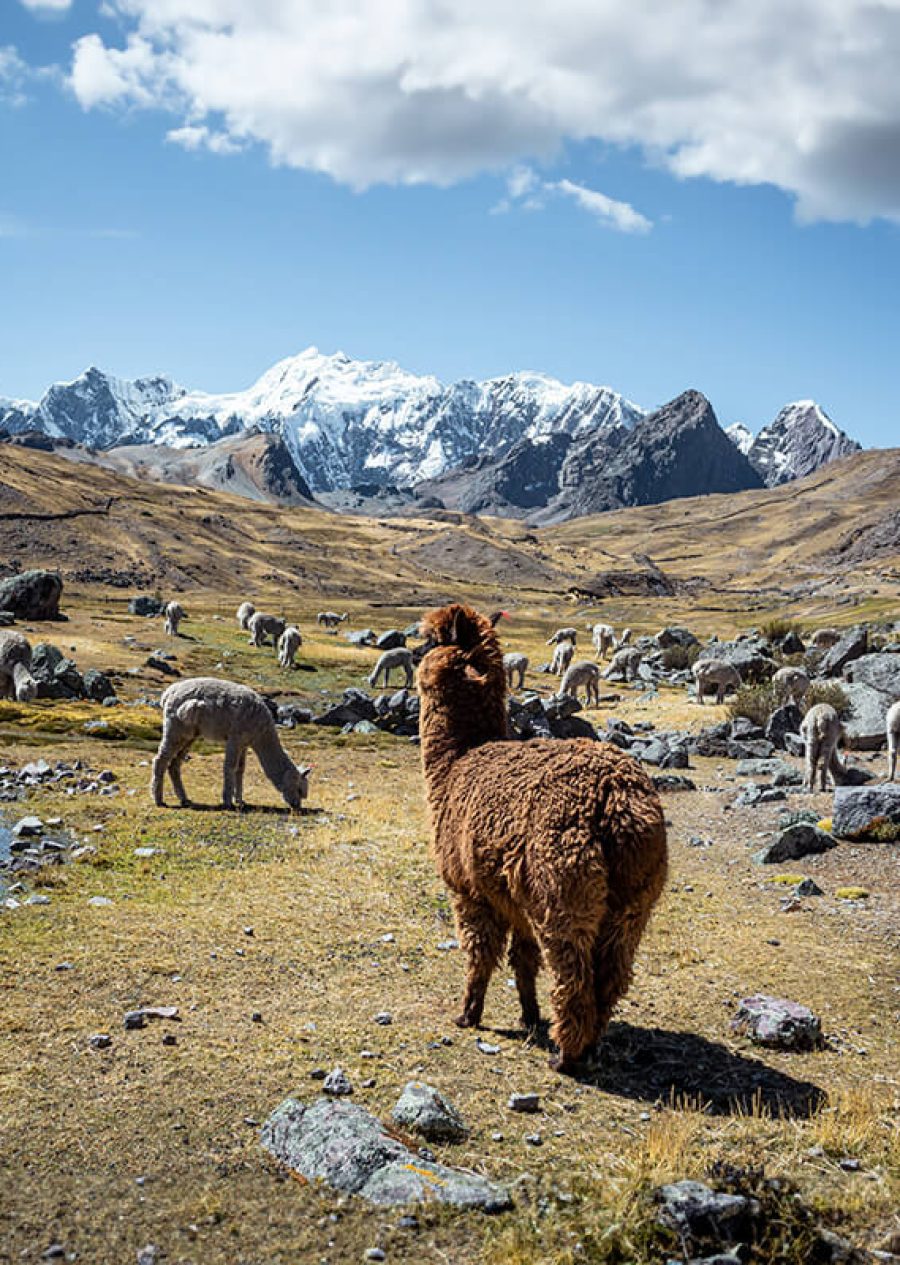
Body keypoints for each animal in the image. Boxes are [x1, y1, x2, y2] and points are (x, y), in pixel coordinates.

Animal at [150, 683, 310, 809]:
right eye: (299, 789)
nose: (296, 806)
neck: (261, 732)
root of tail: (167, 694)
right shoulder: (235, 737)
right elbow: (230, 767)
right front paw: (227, 802)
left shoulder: (244, 743)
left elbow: (240, 769)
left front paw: (240, 800)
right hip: (175, 728)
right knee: (160, 760)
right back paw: (159, 800)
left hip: (189, 735)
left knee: (174, 765)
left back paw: (185, 799)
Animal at [417, 607, 663, 1072]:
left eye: (430, 641)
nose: (411, 648)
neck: (456, 764)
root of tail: (614, 800)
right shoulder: (515, 898)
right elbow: (523, 961)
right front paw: (529, 1016)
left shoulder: (469, 890)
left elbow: (480, 954)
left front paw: (468, 1015)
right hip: (631, 899)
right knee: (611, 975)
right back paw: (590, 1044)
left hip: (563, 888)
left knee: (573, 975)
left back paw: (566, 1055)